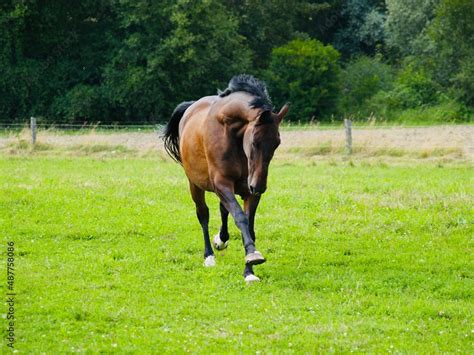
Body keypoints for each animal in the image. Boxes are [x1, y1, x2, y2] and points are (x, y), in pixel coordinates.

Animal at [163, 75, 288, 284]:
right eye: (255, 141)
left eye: (277, 143)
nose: (259, 186)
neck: (231, 131)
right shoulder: (222, 183)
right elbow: (240, 217)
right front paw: (252, 256)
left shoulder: (247, 191)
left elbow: (248, 224)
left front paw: (249, 271)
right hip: (195, 185)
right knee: (203, 215)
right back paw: (209, 256)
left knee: (223, 210)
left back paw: (221, 240)